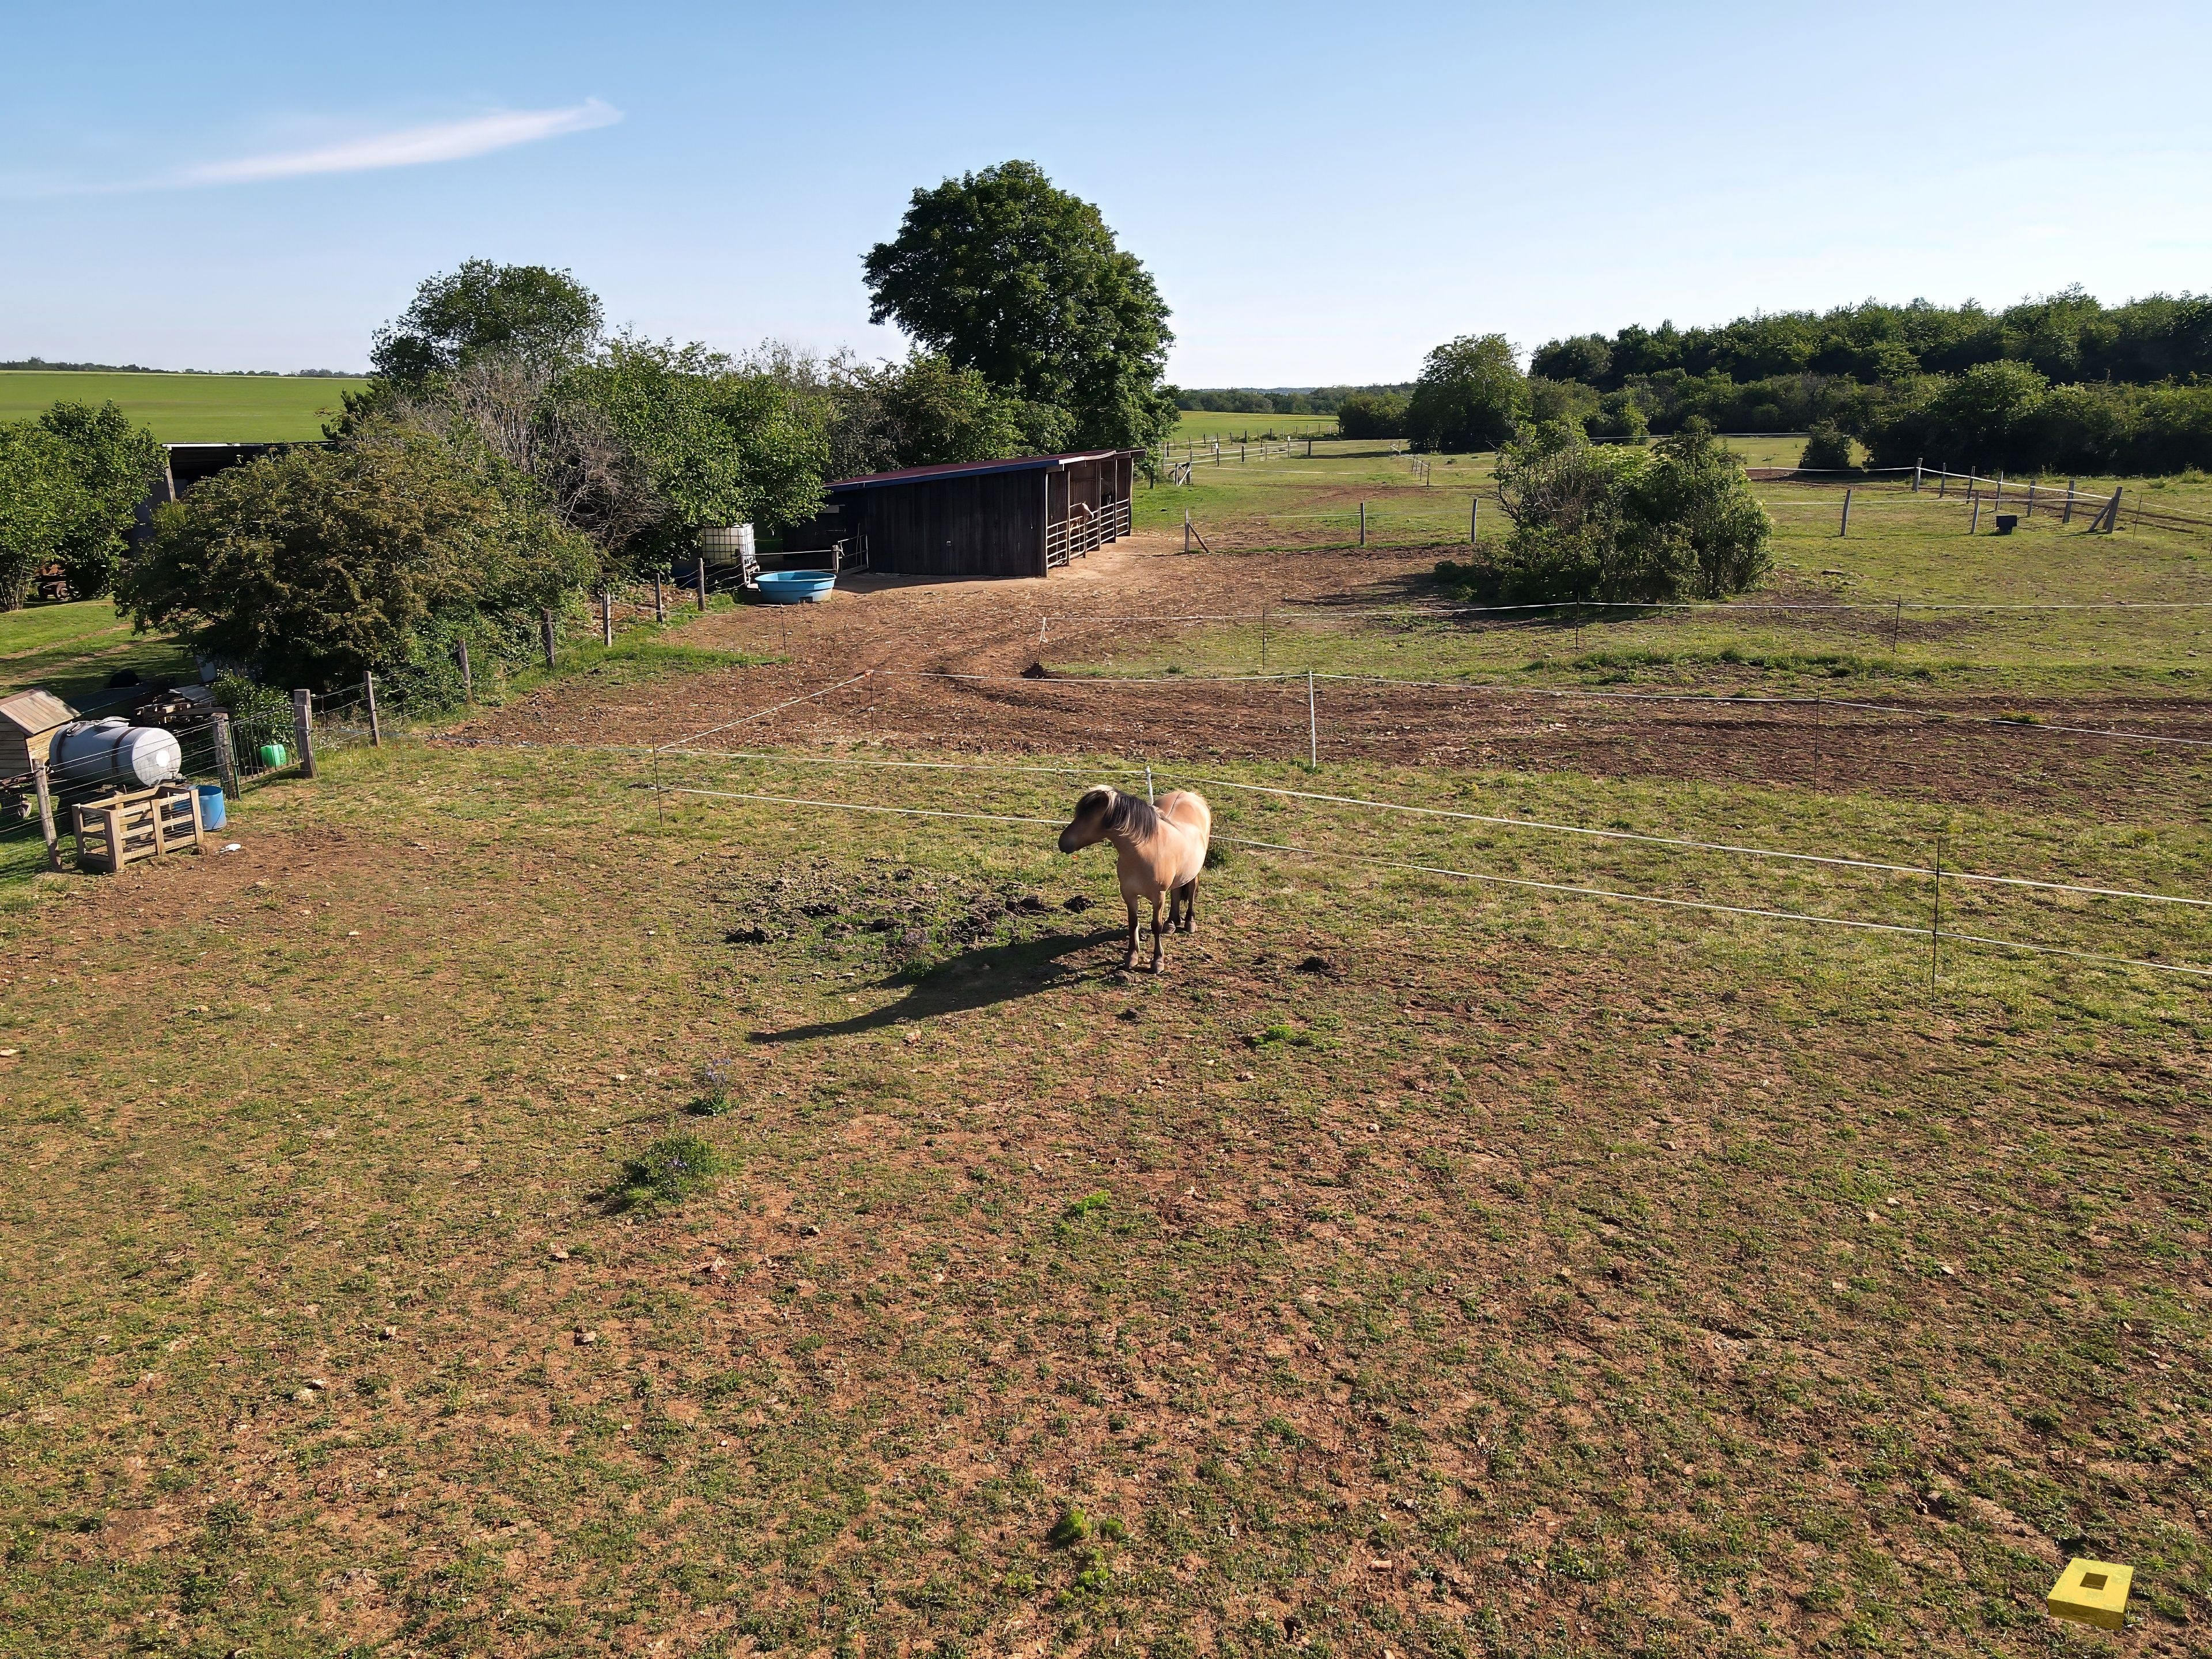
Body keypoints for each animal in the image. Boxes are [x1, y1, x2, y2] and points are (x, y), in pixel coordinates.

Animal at [1057, 785, 1212, 973]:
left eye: (1090, 817)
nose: (1062, 843)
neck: (1145, 851)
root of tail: (1192, 796)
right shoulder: (1129, 894)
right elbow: (1133, 923)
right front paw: (1131, 958)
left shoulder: (1158, 897)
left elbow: (1155, 926)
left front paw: (1157, 961)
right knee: (1176, 892)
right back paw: (1171, 923)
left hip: (1194, 872)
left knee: (1191, 893)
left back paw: (1189, 922)